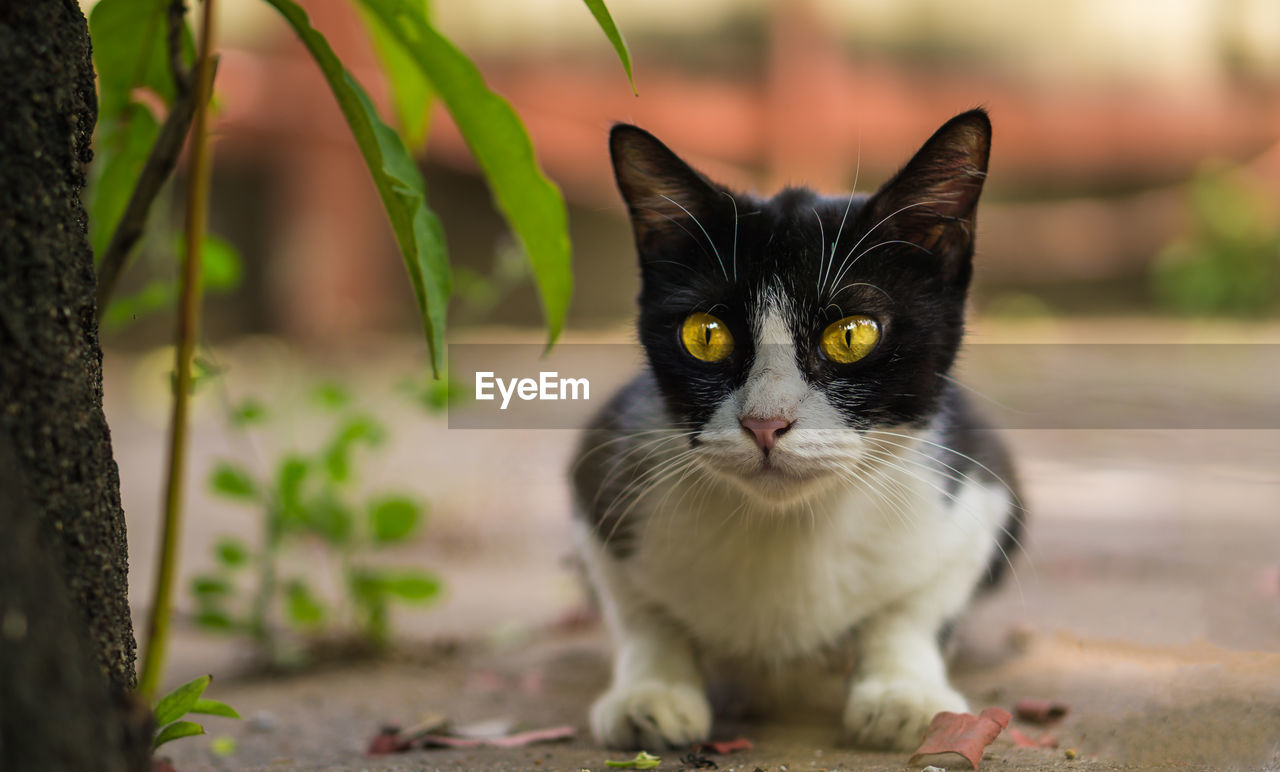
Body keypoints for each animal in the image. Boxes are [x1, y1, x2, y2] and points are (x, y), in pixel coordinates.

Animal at [576, 112, 1024, 752]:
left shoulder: (982, 487)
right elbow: (638, 609)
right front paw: (652, 689)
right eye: (704, 334)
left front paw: (903, 690)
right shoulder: (601, 473)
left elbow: (917, 604)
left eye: (852, 335)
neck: (786, 527)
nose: (765, 423)